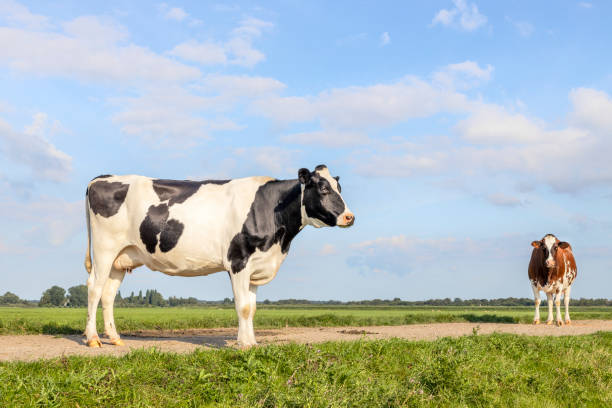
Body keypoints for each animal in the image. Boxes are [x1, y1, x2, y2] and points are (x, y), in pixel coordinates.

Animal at [83, 166, 356, 348]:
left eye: (340, 188)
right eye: (323, 188)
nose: (350, 217)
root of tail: (101, 178)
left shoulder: (256, 266)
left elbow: (252, 308)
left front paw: (252, 342)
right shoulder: (238, 260)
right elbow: (243, 307)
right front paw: (244, 345)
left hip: (122, 257)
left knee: (108, 295)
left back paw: (115, 338)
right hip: (104, 249)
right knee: (94, 288)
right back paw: (93, 339)